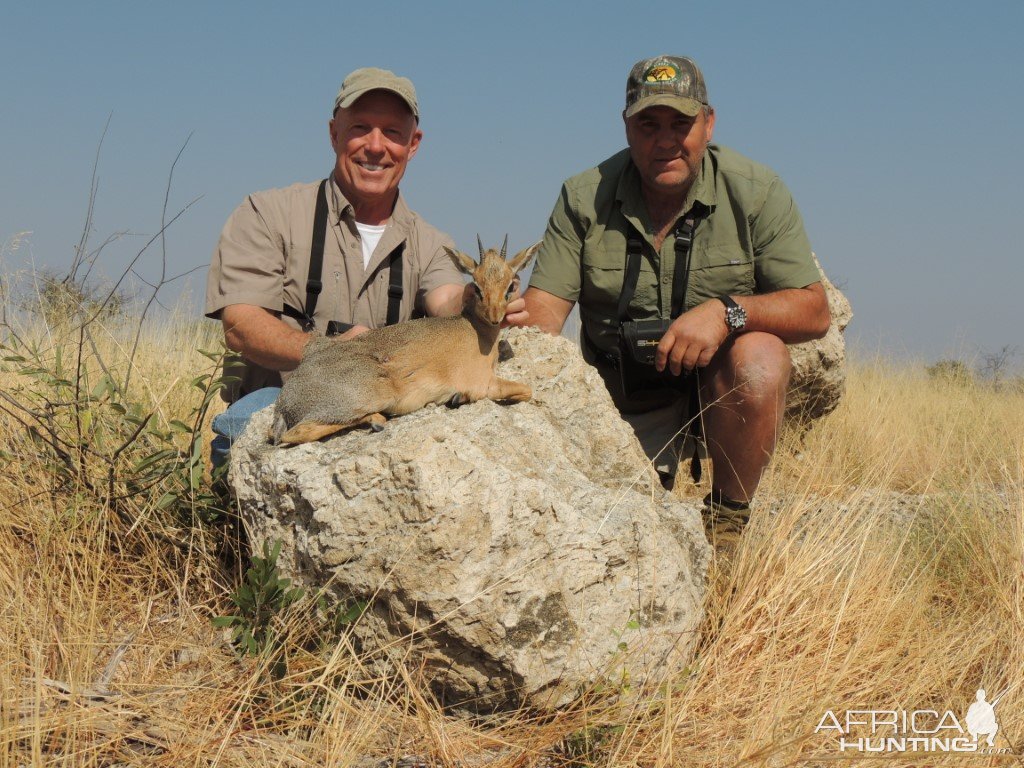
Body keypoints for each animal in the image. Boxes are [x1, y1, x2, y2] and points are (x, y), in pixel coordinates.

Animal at [272, 239, 544, 444]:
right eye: (476, 286)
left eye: (510, 287)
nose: (495, 316)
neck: (476, 331)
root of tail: (285, 401)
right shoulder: (485, 384)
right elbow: (527, 390)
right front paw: (459, 397)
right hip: (368, 397)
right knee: (293, 434)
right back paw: (375, 421)